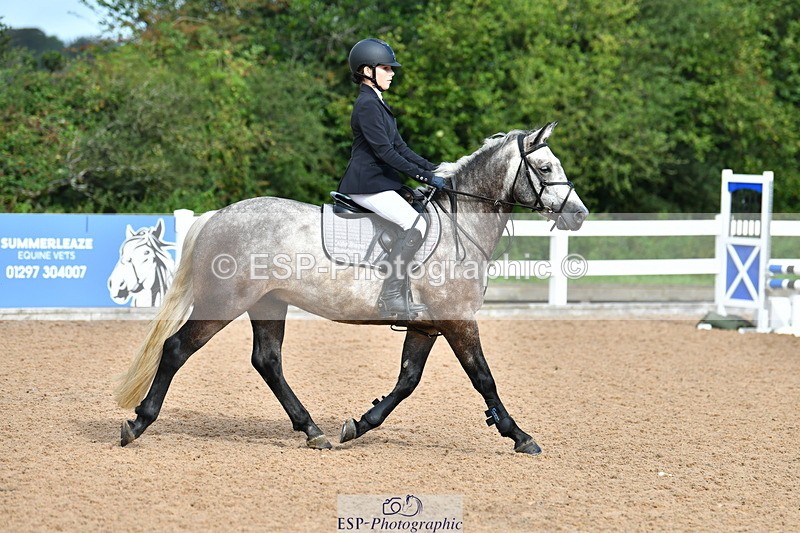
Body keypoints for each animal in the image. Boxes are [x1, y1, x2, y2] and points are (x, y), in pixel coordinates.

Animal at [115, 122, 588, 454]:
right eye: (545, 167)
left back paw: (313, 431)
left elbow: (407, 380)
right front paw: (520, 436)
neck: (461, 226)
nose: (579, 215)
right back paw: (137, 424)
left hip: (268, 304)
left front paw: (359, 425)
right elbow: (484, 379)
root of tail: (218, 215)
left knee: (267, 361)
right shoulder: (457, 320)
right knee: (177, 349)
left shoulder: (427, 325)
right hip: (223, 304)